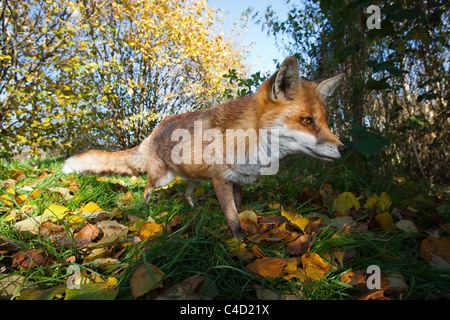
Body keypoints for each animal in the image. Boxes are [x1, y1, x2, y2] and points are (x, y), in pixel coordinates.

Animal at [61, 57, 346, 240]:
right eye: (307, 121)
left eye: (325, 121)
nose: (343, 149)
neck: (249, 140)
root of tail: (153, 131)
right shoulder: (221, 180)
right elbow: (232, 217)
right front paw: (240, 242)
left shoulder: (238, 180)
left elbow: (239, 207)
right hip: (163, 178)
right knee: (147, 186)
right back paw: (146, 207)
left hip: (193, 178)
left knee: (185, 193)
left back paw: (193, 210)